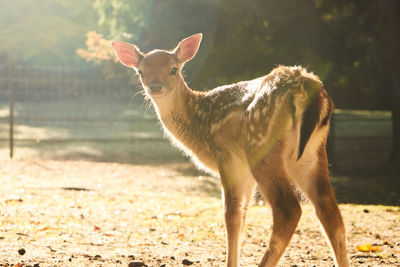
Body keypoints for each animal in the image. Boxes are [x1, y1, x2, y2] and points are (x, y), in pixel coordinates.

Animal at [111, 34, 346, 267]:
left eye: (174, 69)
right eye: (141, 72)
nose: (155, 86)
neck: (198, 124)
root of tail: (307, 88)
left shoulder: (226, 156)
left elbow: (231, 214)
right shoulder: (244, 171)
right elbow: (242, 213)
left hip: (260, 145)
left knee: (288, 209)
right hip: (312, 153)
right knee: (330, 212)